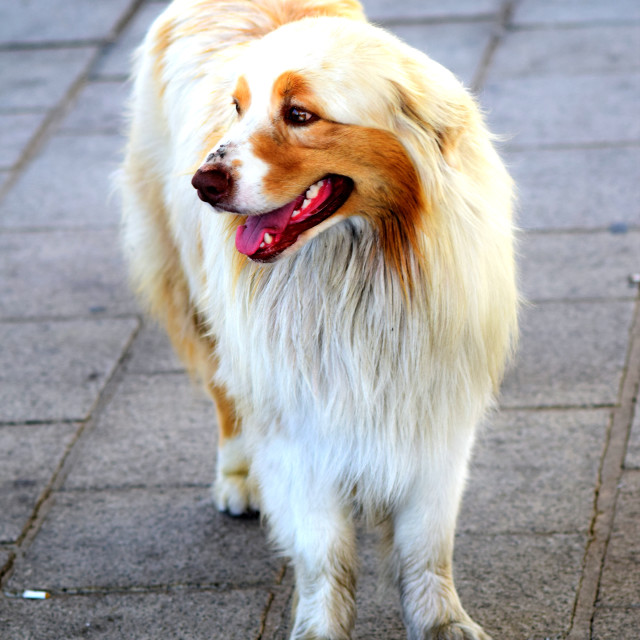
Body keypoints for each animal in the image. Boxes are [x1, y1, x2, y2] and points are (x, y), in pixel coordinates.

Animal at [121, 2, 520, 636]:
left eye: (300, 115)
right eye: (237, 109)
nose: (203, 183)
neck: (362, 266)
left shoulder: (435, 411)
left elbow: (427, 544)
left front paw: (442, 622)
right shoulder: (298, 421)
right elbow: (324, 553)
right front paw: (320, 628)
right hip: (188, 288)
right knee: (223, 393)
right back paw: (237, 477)